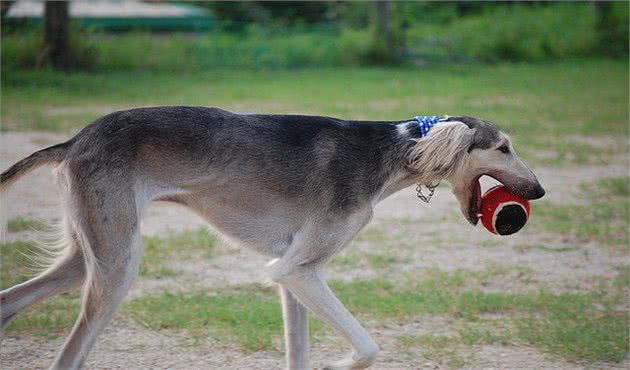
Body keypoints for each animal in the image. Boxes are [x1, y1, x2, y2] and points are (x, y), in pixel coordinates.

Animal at [0, 106, 544, 368]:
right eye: (503, 147)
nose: (540, 190)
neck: (392, 152)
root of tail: (76, 139)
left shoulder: (294, 278)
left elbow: (299, 354)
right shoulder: (295, 270)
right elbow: (368, 348)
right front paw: (337, 365)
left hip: (89, 254)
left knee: (13, 300)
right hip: (117, 264)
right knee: (69, 355)